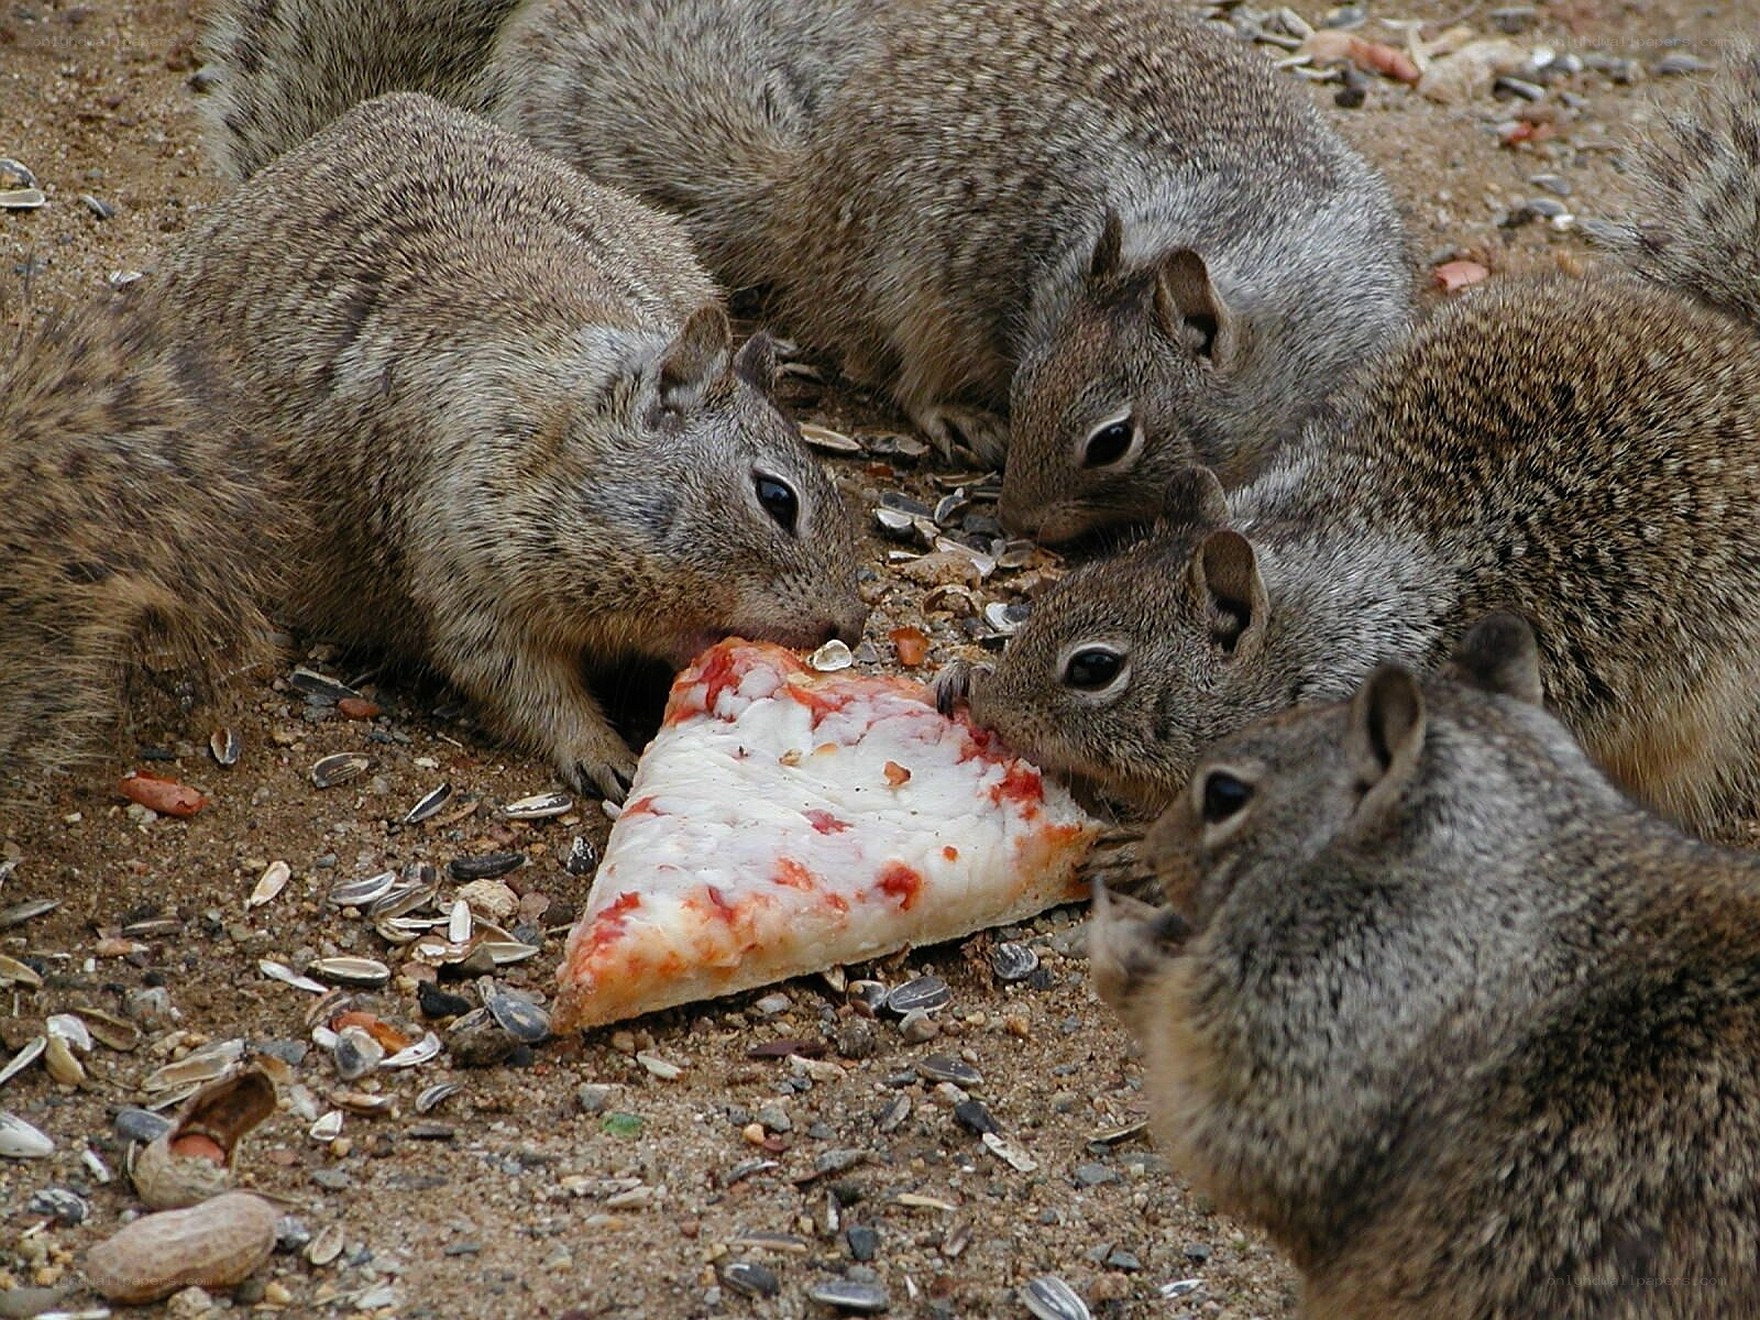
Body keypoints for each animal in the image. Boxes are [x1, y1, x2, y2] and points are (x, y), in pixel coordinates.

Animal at [195, 0, 1411, 520]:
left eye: (1112, 439)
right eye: (1026, 387)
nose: (1017, 527)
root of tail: (809, 196)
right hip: (914, 279)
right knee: (891, 360)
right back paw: (942, 410)